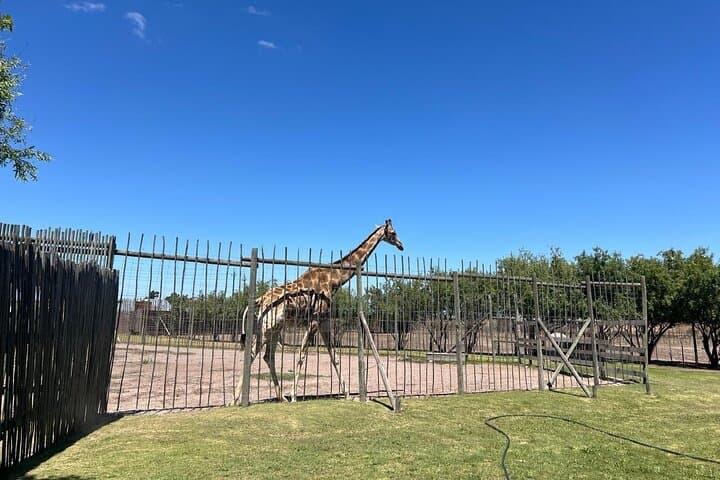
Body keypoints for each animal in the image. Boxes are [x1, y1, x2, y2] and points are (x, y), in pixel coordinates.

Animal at [233, 219, 404, 404]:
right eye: (393, 232)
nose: (401, 245)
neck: (334, 280)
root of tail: (260, 300)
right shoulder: (315, 321)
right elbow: (302, 354)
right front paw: (294, 396)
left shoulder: (324, 322)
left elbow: (334, 357)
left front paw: (348, 395)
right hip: (268, 327)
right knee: (252, 353)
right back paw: (235, 400)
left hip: (273, 327)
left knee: (267, 356)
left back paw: (280, 397)